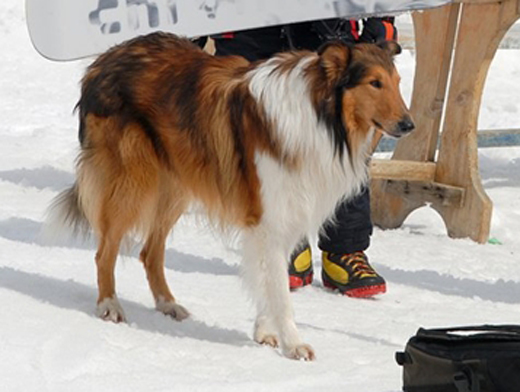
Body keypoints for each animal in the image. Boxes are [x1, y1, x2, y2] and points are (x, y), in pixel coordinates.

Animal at [50, 32, 412, 360]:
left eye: (396, 81)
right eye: (374, 83)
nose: (409, 125)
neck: (319, 116)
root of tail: (103, 60)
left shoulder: (278, 217)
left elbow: (267, 280)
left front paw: (264, 333)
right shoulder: (271, 218)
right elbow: (280, 292)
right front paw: (294, 345)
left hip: (175, 186)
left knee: (150, 252)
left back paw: (168, 304)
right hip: (133, 183)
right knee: (105, 251)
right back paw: (109, 305)